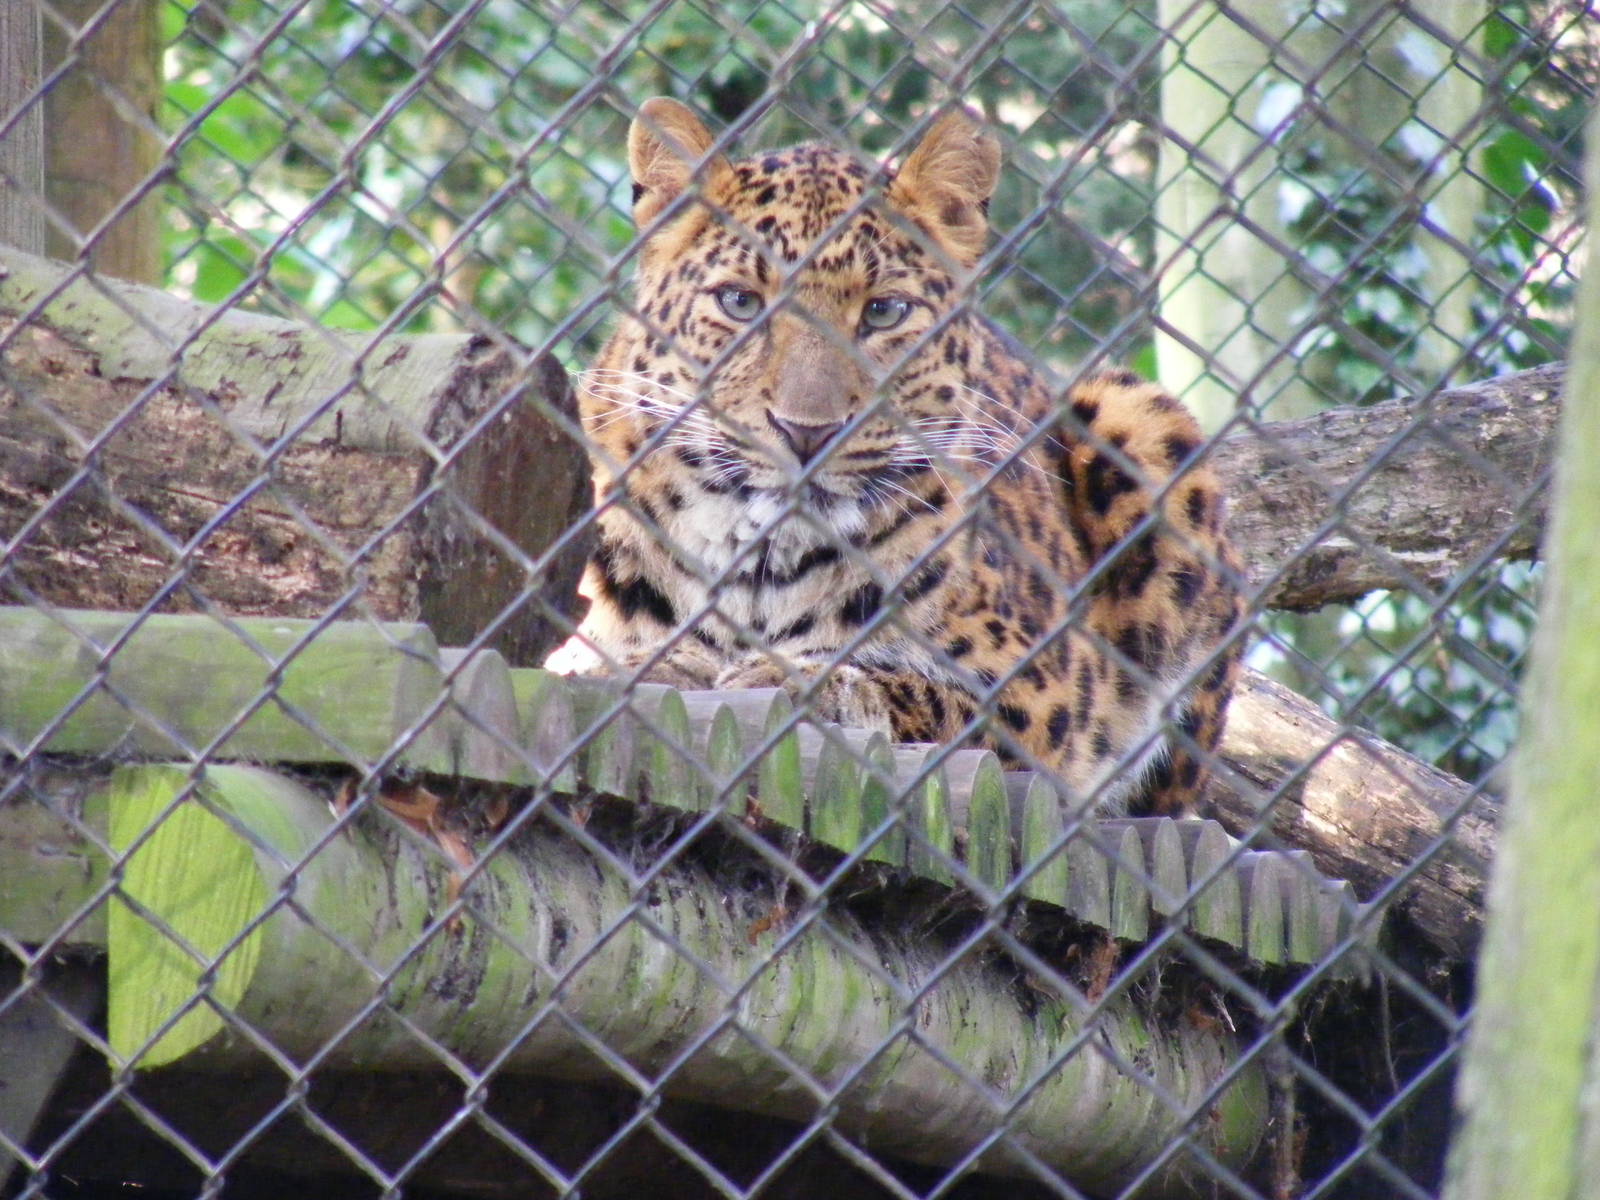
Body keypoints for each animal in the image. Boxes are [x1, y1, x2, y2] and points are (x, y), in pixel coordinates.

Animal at [547, 97, 1245, 816]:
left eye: (883, 312)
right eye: (740, 301)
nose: (806, 431)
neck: (761, 564)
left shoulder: (1041, 693)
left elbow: (920, 692)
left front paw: (795, 678)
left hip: (1138, 414)